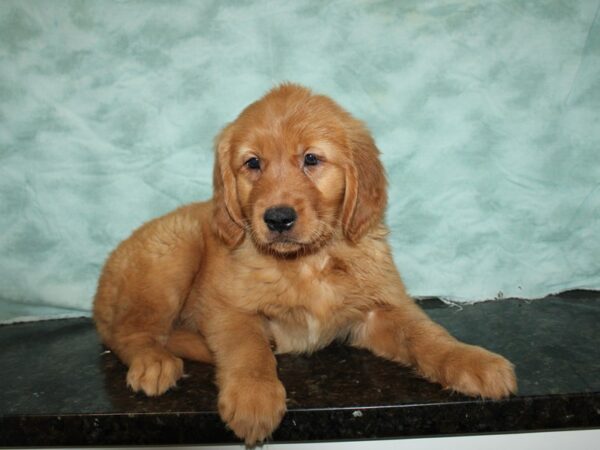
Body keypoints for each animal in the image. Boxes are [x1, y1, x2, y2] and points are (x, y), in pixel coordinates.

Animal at [94, 84, 516, 446]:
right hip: (172, 256)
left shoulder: (379, 310)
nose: (278, 218)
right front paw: (253, 397)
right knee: (128, 332)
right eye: (253, 163)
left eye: (311, 159)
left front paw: (471, 360)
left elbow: (427, 335)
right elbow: (248, 349)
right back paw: (153, 362)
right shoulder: (228, 306)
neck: (309, 263)